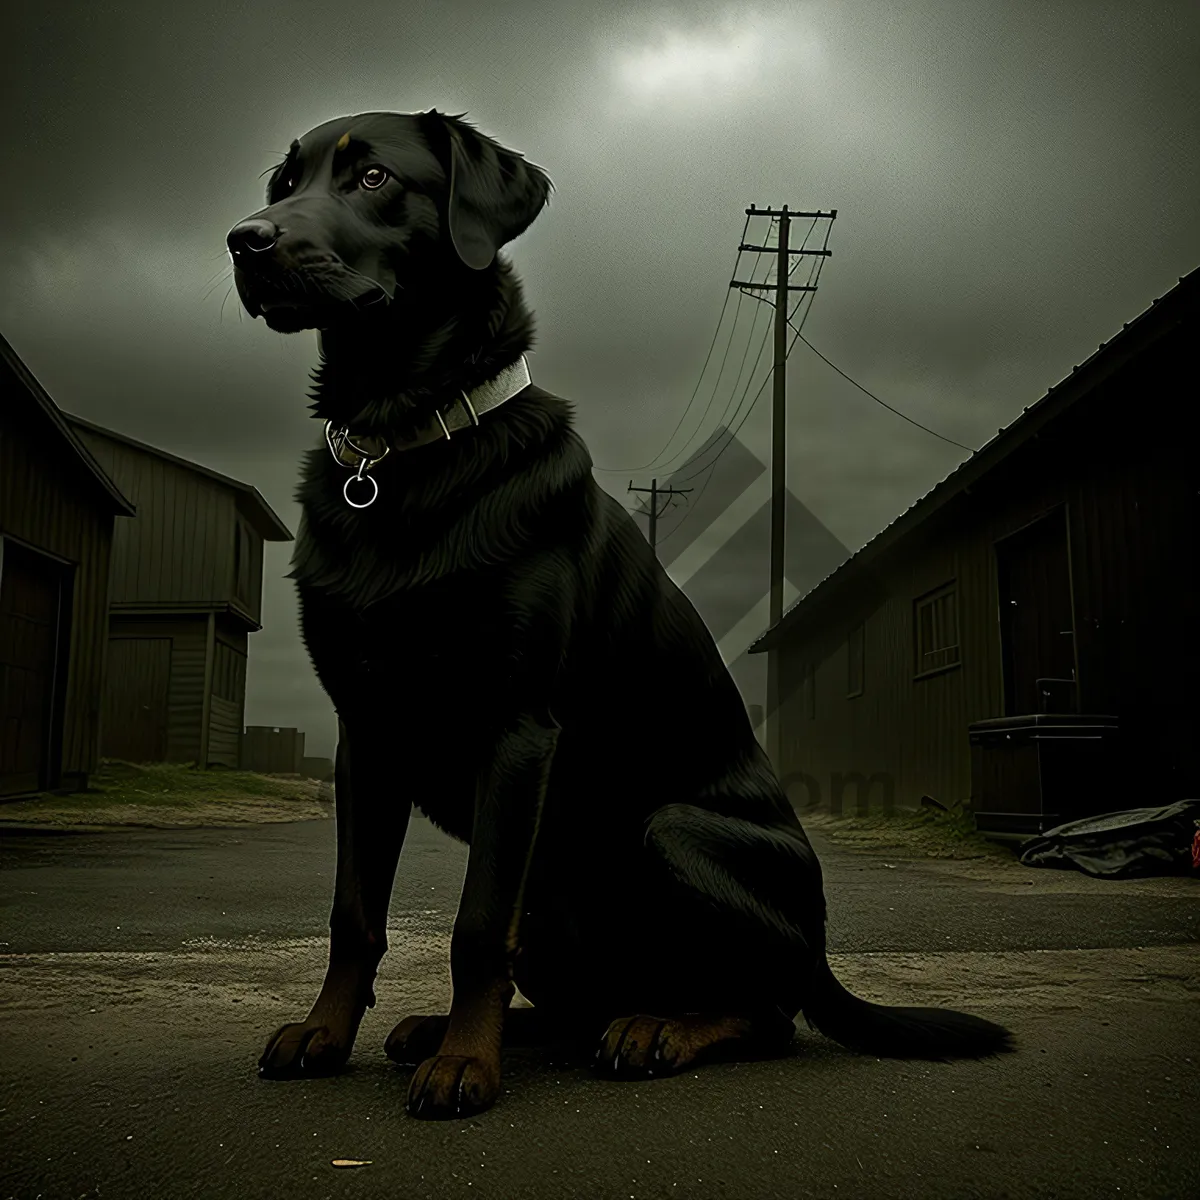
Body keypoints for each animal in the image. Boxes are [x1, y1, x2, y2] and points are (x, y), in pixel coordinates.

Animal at [225, 108, 1012, 1118]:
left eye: (372, 177)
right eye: (285, 183)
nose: (245, 239)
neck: (402, 445)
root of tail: (824, 954)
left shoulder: (518, 728)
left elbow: (475, 922)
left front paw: (467, 1068)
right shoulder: (367, 731)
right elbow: (354, 911)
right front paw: (326, 1034)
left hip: (667, 834)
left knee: (764, 1012)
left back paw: (656, 1029)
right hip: (558, 894)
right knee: (575, 999)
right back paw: (452, 1028)